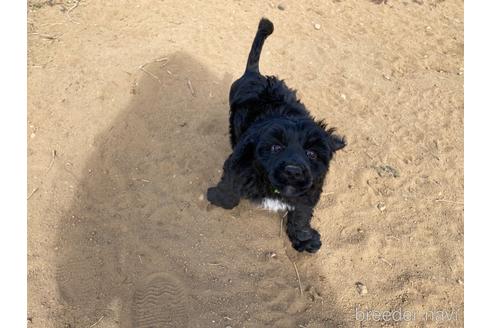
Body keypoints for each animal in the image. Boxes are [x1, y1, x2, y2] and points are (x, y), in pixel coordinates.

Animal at [208, 18, 346, 252]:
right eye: (275, 147)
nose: (293, 171)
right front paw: (217, 198)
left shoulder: (310, 188)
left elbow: (301, 214)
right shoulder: (238, 163)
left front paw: (304, 239)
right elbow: (230, 187)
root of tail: (254, 73)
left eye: (312, 153)